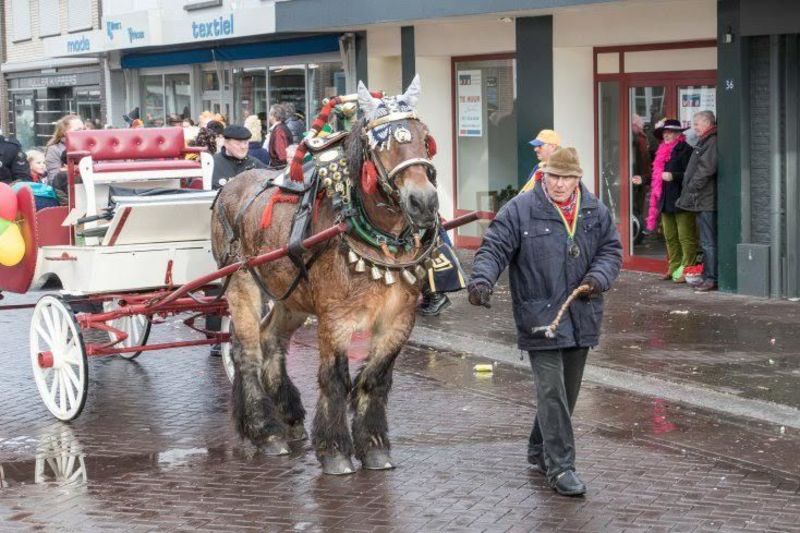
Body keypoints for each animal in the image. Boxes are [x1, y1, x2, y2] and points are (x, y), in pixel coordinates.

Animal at [211, 75, 440, 475]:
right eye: (380, 144)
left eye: (423, 136)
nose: (423, 202)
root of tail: (231, 185)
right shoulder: (335, 319)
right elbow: (335, 379)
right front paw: (335, 450)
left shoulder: (399, 317)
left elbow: (374, 378)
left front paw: (373, 445)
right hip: (241, 284)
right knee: (246, 351)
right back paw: (265, 430)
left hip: (290, 295)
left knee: (271, 341)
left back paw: (289, 416)